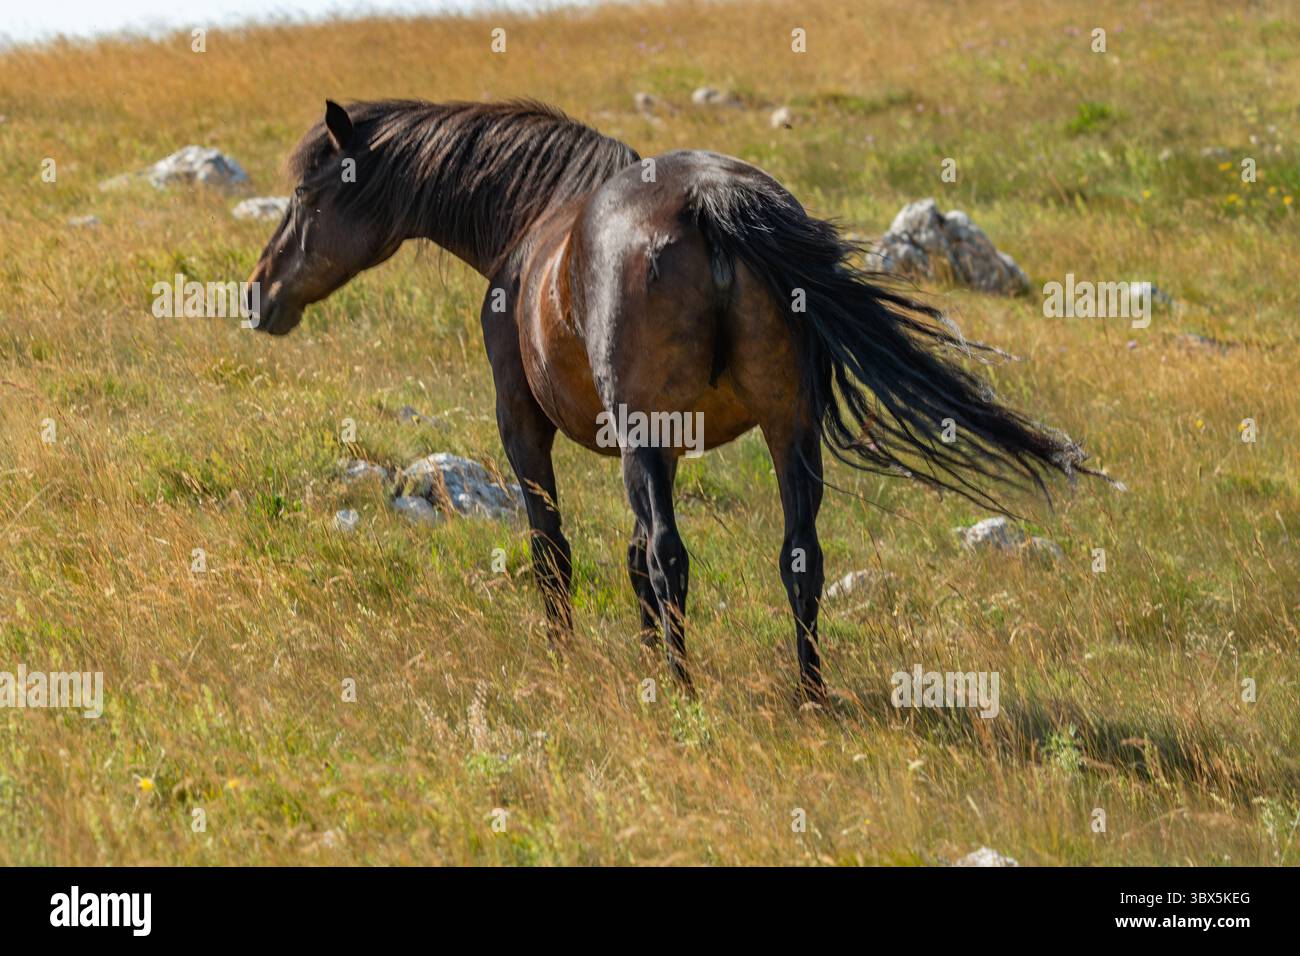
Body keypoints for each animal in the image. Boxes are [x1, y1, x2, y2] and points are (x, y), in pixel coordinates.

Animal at [247, 98, 1103, 702]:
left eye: (304, 193)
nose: (257, 294)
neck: (531, 224)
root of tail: (713, 203)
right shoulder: (672, 446)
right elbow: (630, 557)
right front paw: (643, 654)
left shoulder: (529, 427)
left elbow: (557, 550)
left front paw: (569, 657)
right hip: (788, 431)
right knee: (799, 559)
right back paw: (807, 694)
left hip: (648, 437)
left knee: (669, 556)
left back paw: (684, 688)